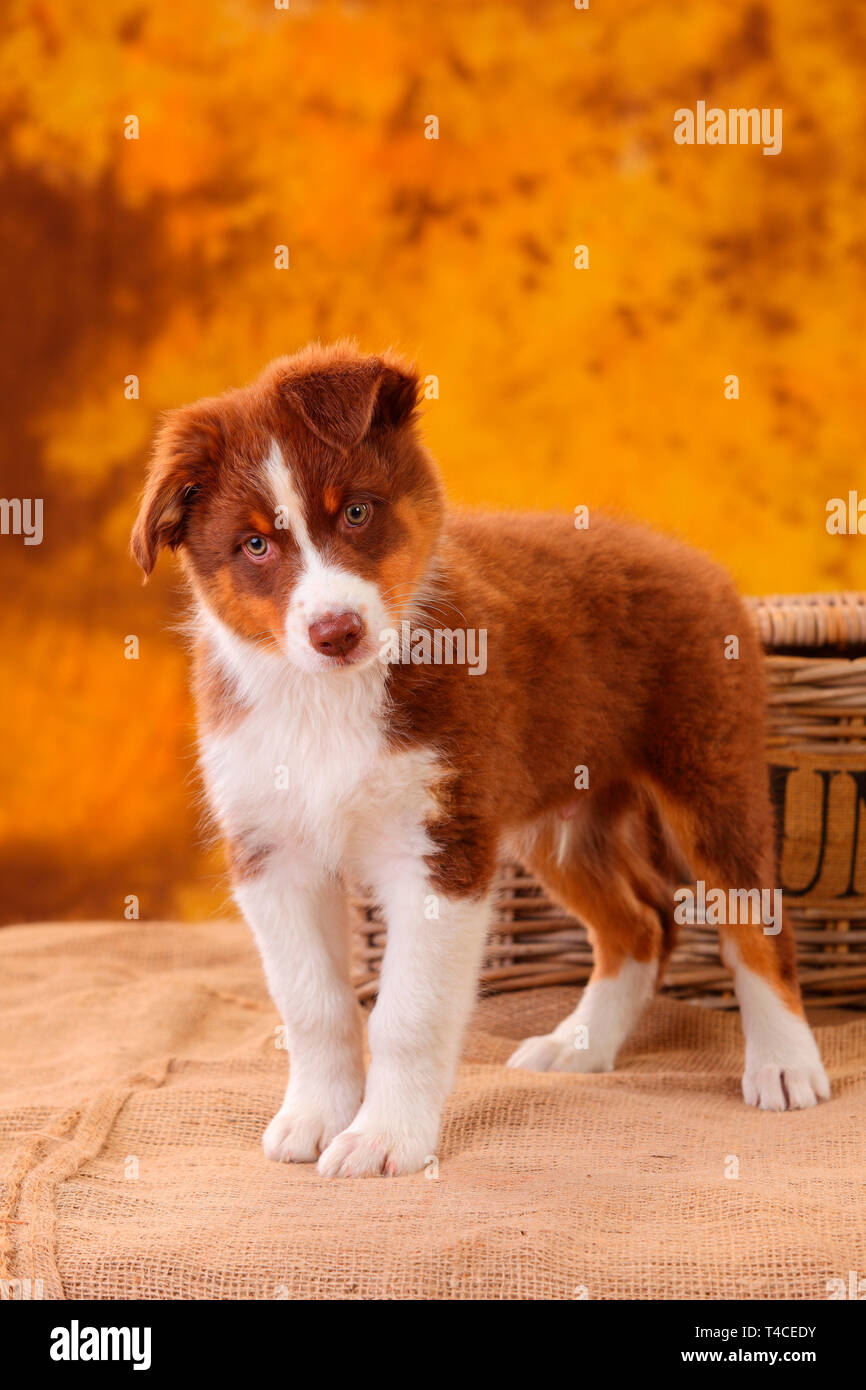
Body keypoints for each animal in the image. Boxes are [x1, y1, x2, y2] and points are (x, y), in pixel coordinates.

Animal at [132, 341, 828, 1178]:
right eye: (255, 545)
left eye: (357, 511)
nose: (336, 632)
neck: (330, 700)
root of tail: (692, 557)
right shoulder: (273, 852)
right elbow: (313, 1004)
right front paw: (315, 1118)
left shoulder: (441, 847)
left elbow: (405, 1011)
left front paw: (384, 1137)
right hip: (558, 818)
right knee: (641, 924)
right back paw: (578, 1045)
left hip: (708, 770)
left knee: (753, 919)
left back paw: (784, 1064)